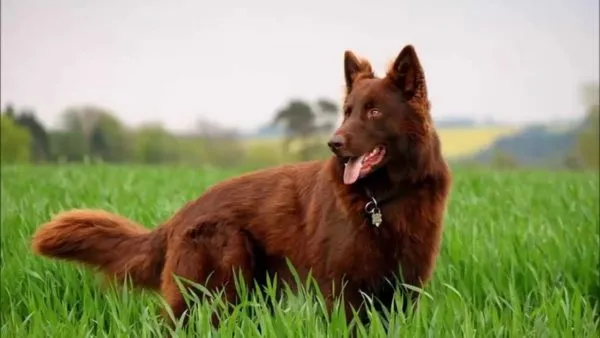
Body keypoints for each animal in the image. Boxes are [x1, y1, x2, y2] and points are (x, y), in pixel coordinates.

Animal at [31, 45, 450, 328]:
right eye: (347, 113)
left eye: (374, 112)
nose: (334, 143)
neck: (384, 198)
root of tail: (179, 217)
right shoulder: (343, 292)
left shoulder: (404, 290)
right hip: (223, 275)